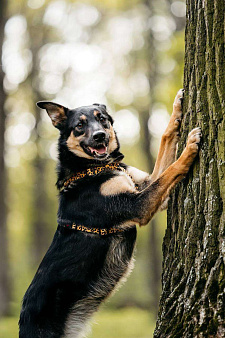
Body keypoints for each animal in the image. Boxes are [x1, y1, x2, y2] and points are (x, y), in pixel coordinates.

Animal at [18, 88, 202, 336]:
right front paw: (189, 148)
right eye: (79, 125)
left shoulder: (145, 186)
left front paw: (177, 107)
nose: (99, 136)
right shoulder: (138, 206)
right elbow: (170, 170)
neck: (94, 168)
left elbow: (165, 145)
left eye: (103, 119)